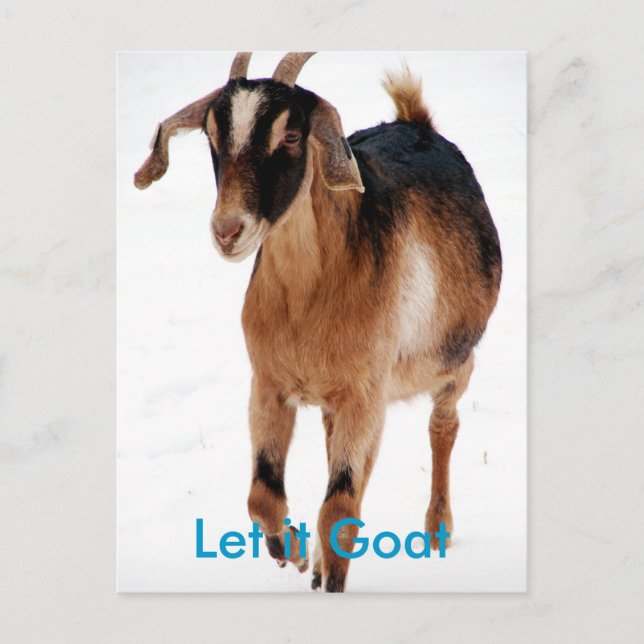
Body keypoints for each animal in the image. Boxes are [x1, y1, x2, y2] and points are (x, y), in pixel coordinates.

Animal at [134, 52, 502, 592]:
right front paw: (293, 552)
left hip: (452, 363)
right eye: (211, 135)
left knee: (443, 426)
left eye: (290, 135)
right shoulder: (269, 384)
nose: (228, 231)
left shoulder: (364, 390)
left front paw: (329, 580)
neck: (307, 300)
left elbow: (339, 511)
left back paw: (437, 530)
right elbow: (263, 497)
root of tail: (416, 121)